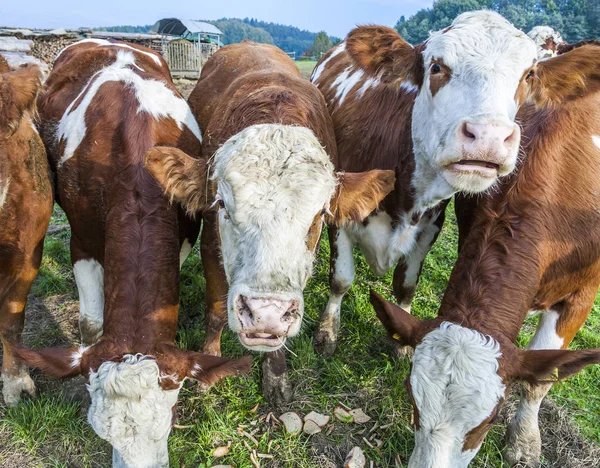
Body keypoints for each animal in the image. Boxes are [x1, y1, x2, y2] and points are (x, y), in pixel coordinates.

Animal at [145, 42, 396, 404]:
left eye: (319, 215)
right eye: (223, 205)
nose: (265, 313)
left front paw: (276, 375)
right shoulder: (211, 241)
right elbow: (216, 308)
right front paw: (210, 363)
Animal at [310, 10, 548, 354]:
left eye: (528, 74)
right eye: (437, 67)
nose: (488, 136)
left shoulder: (430, 225)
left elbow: (407, 286)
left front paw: (403, 343)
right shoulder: (342, 209)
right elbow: (340, 279)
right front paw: (327, 332)